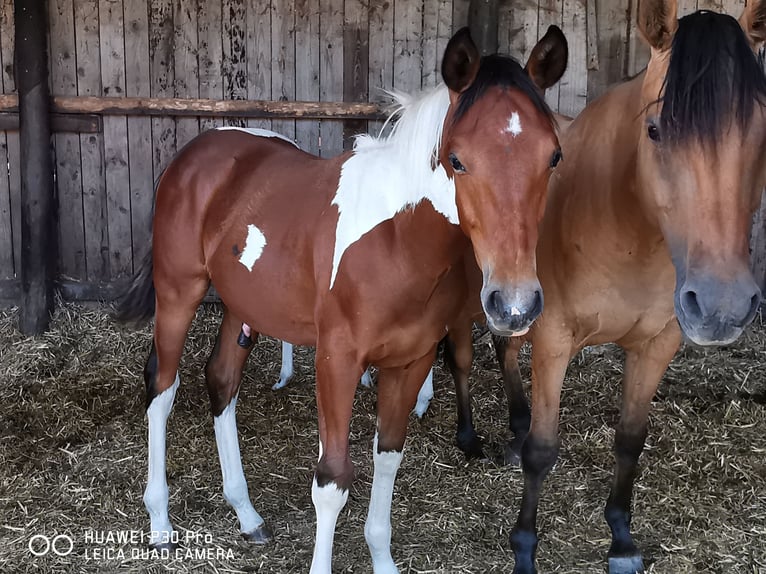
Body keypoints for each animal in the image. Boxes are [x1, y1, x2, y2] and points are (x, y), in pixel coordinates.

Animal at [115, 27, 565, 573]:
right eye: (458, 159)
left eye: (554, 157)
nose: (514, 304)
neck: (397, 240)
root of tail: (197, 151)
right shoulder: (337, 361)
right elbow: (332, 481)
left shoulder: (410, 362)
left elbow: (388, 457)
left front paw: (383, 558)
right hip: (179, 294)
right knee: (161, 388)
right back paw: (160, 522)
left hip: (245, 308)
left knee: (221, 381)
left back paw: (246, 513)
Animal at [482, 2, 765, 573]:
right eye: (654, 130)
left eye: (764, 131)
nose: (723, 307)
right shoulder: (553, 339)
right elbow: (542, 451)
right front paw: (524, 547)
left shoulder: (659, 344)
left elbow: (631, 439)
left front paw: (622, 539)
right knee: (503, 349)